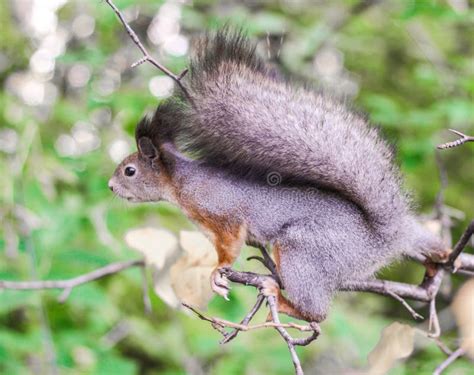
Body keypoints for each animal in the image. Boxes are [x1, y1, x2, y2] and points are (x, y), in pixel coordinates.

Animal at [109, 29, 450, 324]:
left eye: (130, 170)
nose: (111, 186)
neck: (180, 183)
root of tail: (380, 241)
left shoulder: (222, 212)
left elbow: (229, 245)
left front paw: (219, 270)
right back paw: (441, 258)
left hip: (303, 251)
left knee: (317, 312)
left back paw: (283, 298)